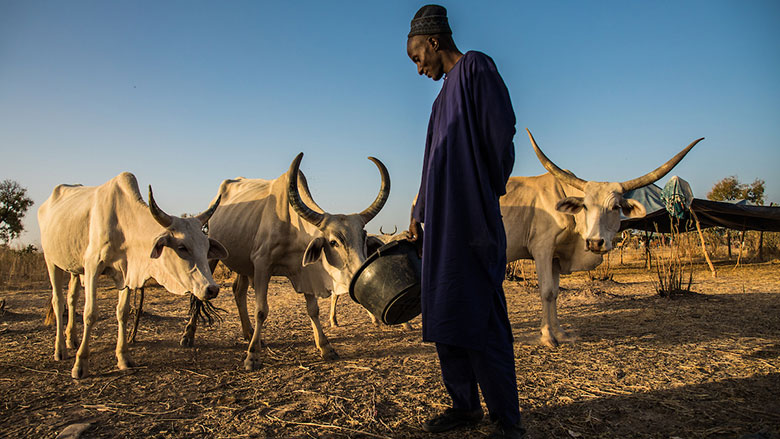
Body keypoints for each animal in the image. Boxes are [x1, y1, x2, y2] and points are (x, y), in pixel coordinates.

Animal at [38, 172, 229, 378]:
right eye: (182, 247)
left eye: (207, 247)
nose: (212, 289)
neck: (122, 221)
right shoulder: (92, 266)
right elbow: (90, 313)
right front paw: (80, 363)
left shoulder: (127, 272)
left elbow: (123, 312)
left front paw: (123, 357)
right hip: (51, 261)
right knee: (58, 302)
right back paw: (60, 349)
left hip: (74, 268)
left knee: (72, 299)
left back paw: (71, 339)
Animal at [182, 153, 390, 370]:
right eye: (333, 242)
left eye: (363, 237)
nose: (361, 273)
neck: (292, 224)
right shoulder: (262, 265)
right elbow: (261, 310)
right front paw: (253, 356)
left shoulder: (305, 272)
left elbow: (313, 310)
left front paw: (325, 347)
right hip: (211, 255)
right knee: (200, 294)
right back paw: (189, 335)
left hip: (242, 263)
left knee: (238, 291)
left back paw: (249, 333)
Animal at [502, 130, 704, 348]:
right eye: (585, 206)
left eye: (615, 207)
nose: (595, 242)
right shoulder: (542, 250)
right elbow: (546, 291)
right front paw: (547, 336)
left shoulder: (556, 256)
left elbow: (555, 293)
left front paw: (560, 333)